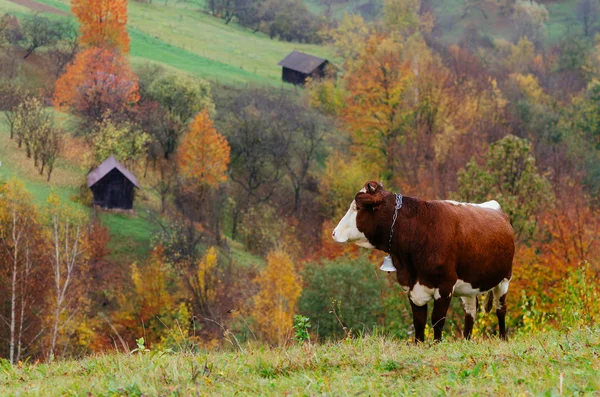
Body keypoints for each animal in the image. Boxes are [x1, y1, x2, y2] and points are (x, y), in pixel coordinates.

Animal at [330, 181, 512, 342]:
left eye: (357, 208)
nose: (334, 233)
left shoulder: (445, 286)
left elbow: (437, 321)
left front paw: (436, 345)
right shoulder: (412, 287)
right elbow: (418, 322)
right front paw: (418, 344)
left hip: (504, 280)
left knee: (500, 309)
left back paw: (503, 338)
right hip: (470, 285)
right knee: (470, 312)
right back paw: (467, 341)